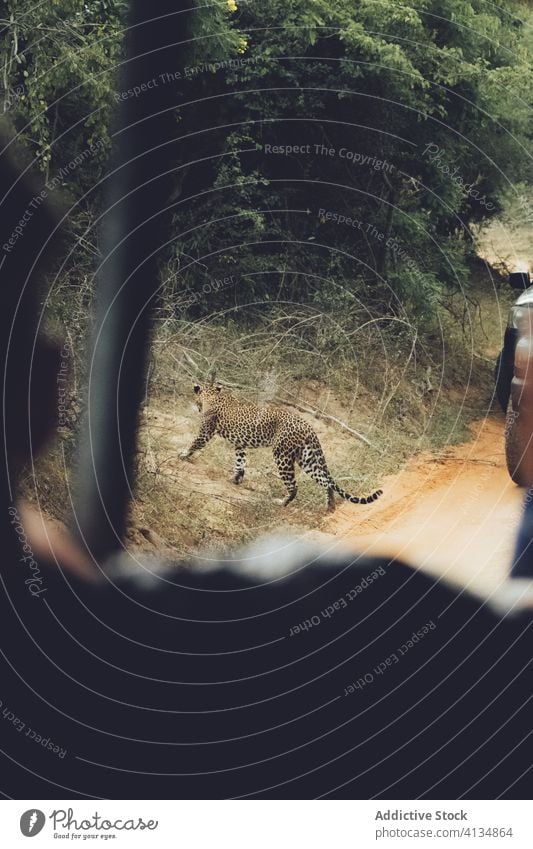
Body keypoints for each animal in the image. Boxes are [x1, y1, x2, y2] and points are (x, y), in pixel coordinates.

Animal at [180, 384, 382, 510]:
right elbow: (240, 461)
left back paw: (282, 502)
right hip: (306, 458)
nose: (197, 406)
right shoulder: (240, 443)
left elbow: (195, 442)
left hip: (282, 455)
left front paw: (183, 455)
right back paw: (330, 506)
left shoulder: (206, 431)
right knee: (325, 480)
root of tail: (308, 426)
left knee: (294, 486)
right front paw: (236, 478)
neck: (213, 395)